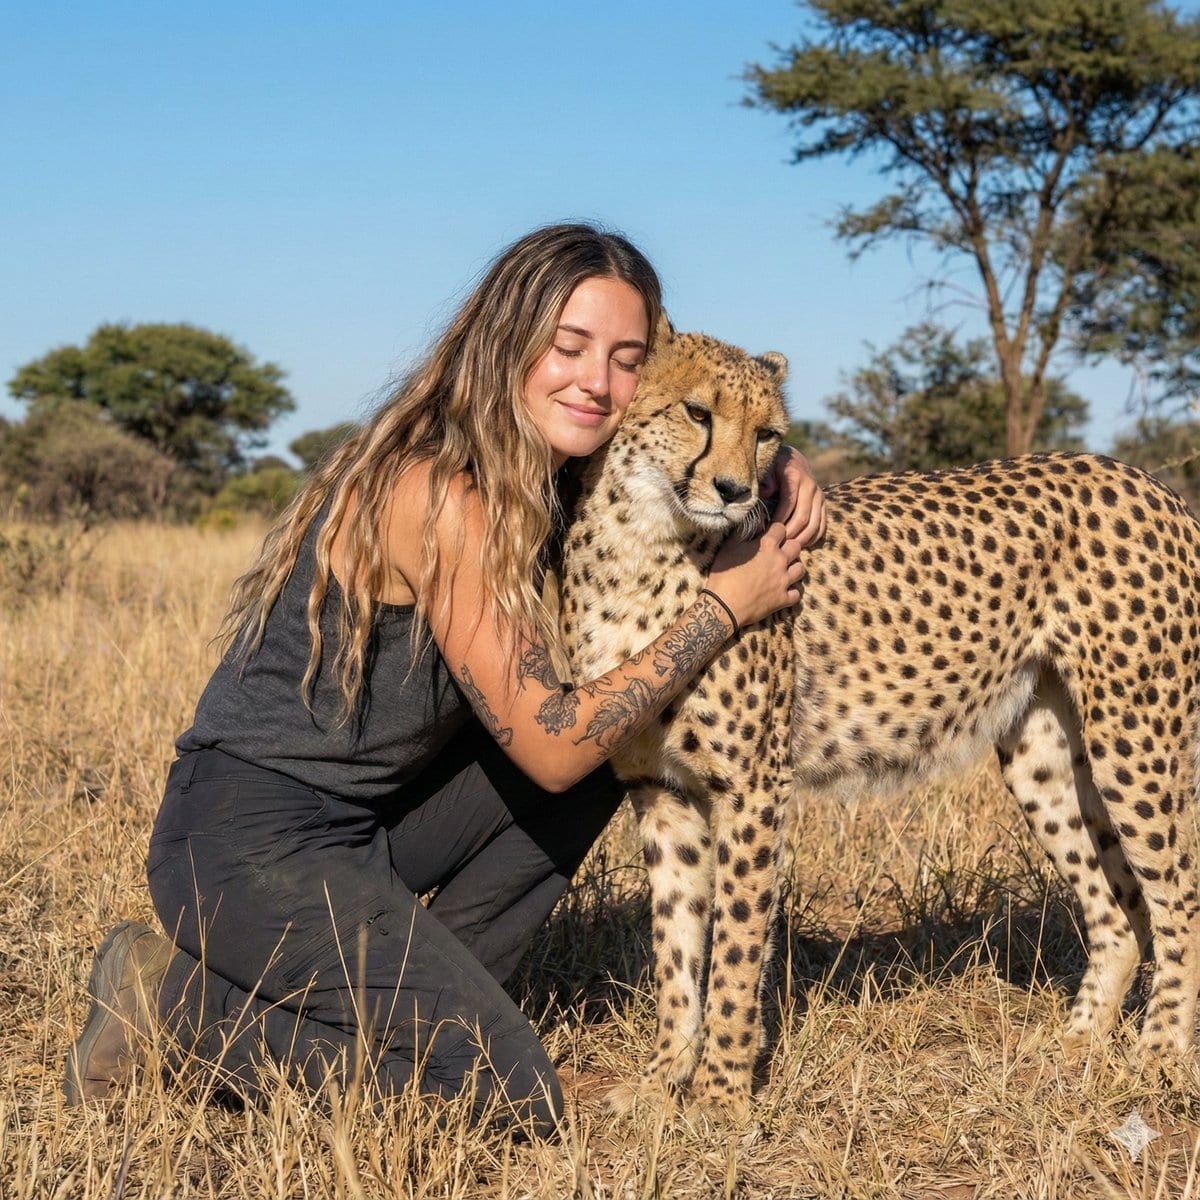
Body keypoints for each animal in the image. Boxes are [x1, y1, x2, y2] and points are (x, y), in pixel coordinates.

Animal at [557, 322, 1200, 1118]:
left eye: (767, 435)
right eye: (697, 413)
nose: (737, 491)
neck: (639, 543)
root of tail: (1147, 481)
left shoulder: (753, 786)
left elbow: (735, 949)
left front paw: (721, 1099)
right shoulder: (662, 790)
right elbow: (676, 949)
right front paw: (660, 1082)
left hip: (1133, 737)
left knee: (1180, 900)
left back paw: (1160, 1055)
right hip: (1043, 755)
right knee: (1117, 912)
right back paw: (1072, 1046)